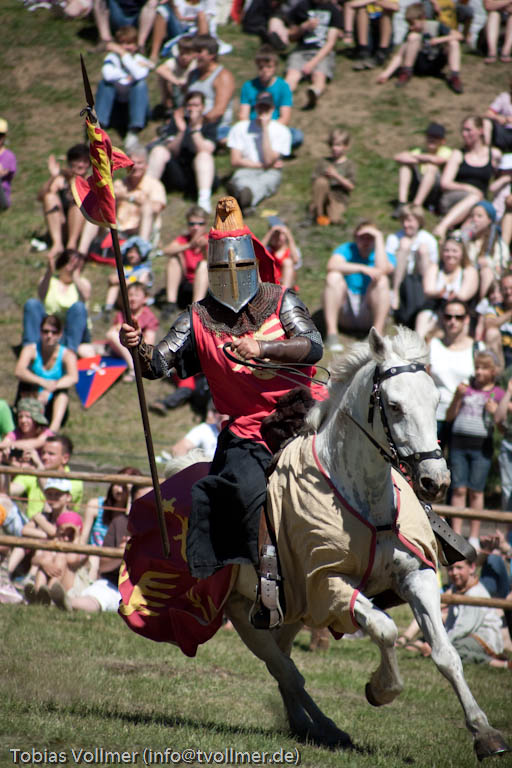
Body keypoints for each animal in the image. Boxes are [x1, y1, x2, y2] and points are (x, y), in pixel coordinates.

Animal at [120, 327, 509, 760]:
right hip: (242, 611)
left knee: (285, 663)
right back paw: (323, 726)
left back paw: (305, 724)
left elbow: (446, 655)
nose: (435, 480)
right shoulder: (329, 584)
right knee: (286, 670)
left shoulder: (417, 576)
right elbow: (386, 630)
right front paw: (380, 689)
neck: (361, 495)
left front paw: (485, 733)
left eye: (436, 401)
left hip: (287, 610)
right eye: (394, 405)